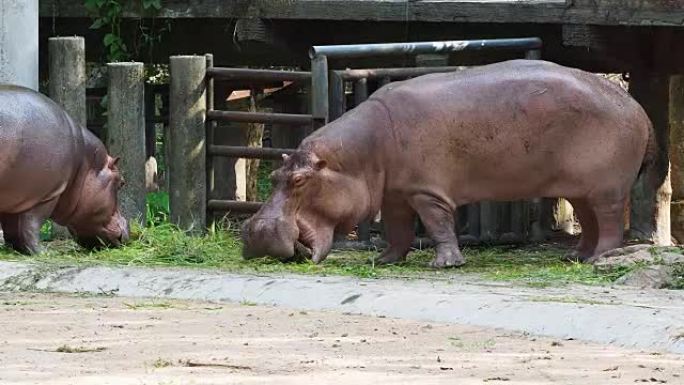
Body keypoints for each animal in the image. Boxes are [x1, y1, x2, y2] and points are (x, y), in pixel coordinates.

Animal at [0, 85, 130, 254]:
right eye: (122, 183)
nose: (129, 231)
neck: (83, 162)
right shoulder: (46, 195)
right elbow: (31, 225)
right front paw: (43, 252)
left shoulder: (13, 201)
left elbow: (11, 228)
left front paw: (16, 250)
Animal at [240, 59, 652, 268]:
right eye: (276, 175)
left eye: (300, 181)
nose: (256, 233)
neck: (355, 156)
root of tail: (638, 108)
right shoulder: (396, 194)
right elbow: (397, 229)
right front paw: (385, 260)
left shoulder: (427, 192)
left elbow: (438, 225)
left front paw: (444, 264)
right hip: (580, 187)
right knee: (589, 220)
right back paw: (575, 256)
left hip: (607, 188)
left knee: (609, 221)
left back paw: (600, 257)